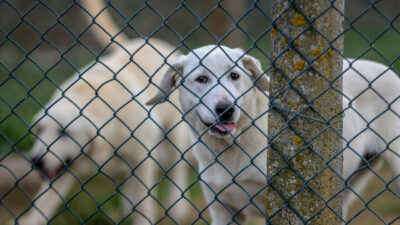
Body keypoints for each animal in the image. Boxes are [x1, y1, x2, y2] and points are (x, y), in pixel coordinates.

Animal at [148, 44, 400, 224]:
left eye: (235, 76)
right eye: (201, 79)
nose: (226, 109)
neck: (231, 147)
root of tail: (387, 70)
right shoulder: (224, 211)